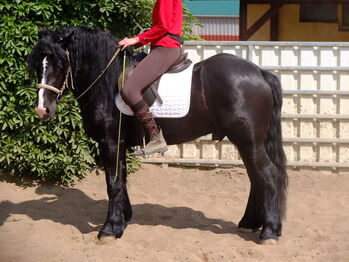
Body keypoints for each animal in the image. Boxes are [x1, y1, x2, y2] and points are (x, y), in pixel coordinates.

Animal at [28, 26, 286, 244]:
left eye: (60, 64)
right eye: (38, 64)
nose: (42, 110)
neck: (106, 81)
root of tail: (260, 72)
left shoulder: (109, 142)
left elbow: (112, 183)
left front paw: (110, 228)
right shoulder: (119, 143)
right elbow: (121, 180)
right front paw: (123, 219)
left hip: (248, 141)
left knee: (267, 175)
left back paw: (269, 231)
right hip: (248, 142)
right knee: (256, 178)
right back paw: (250, 223)